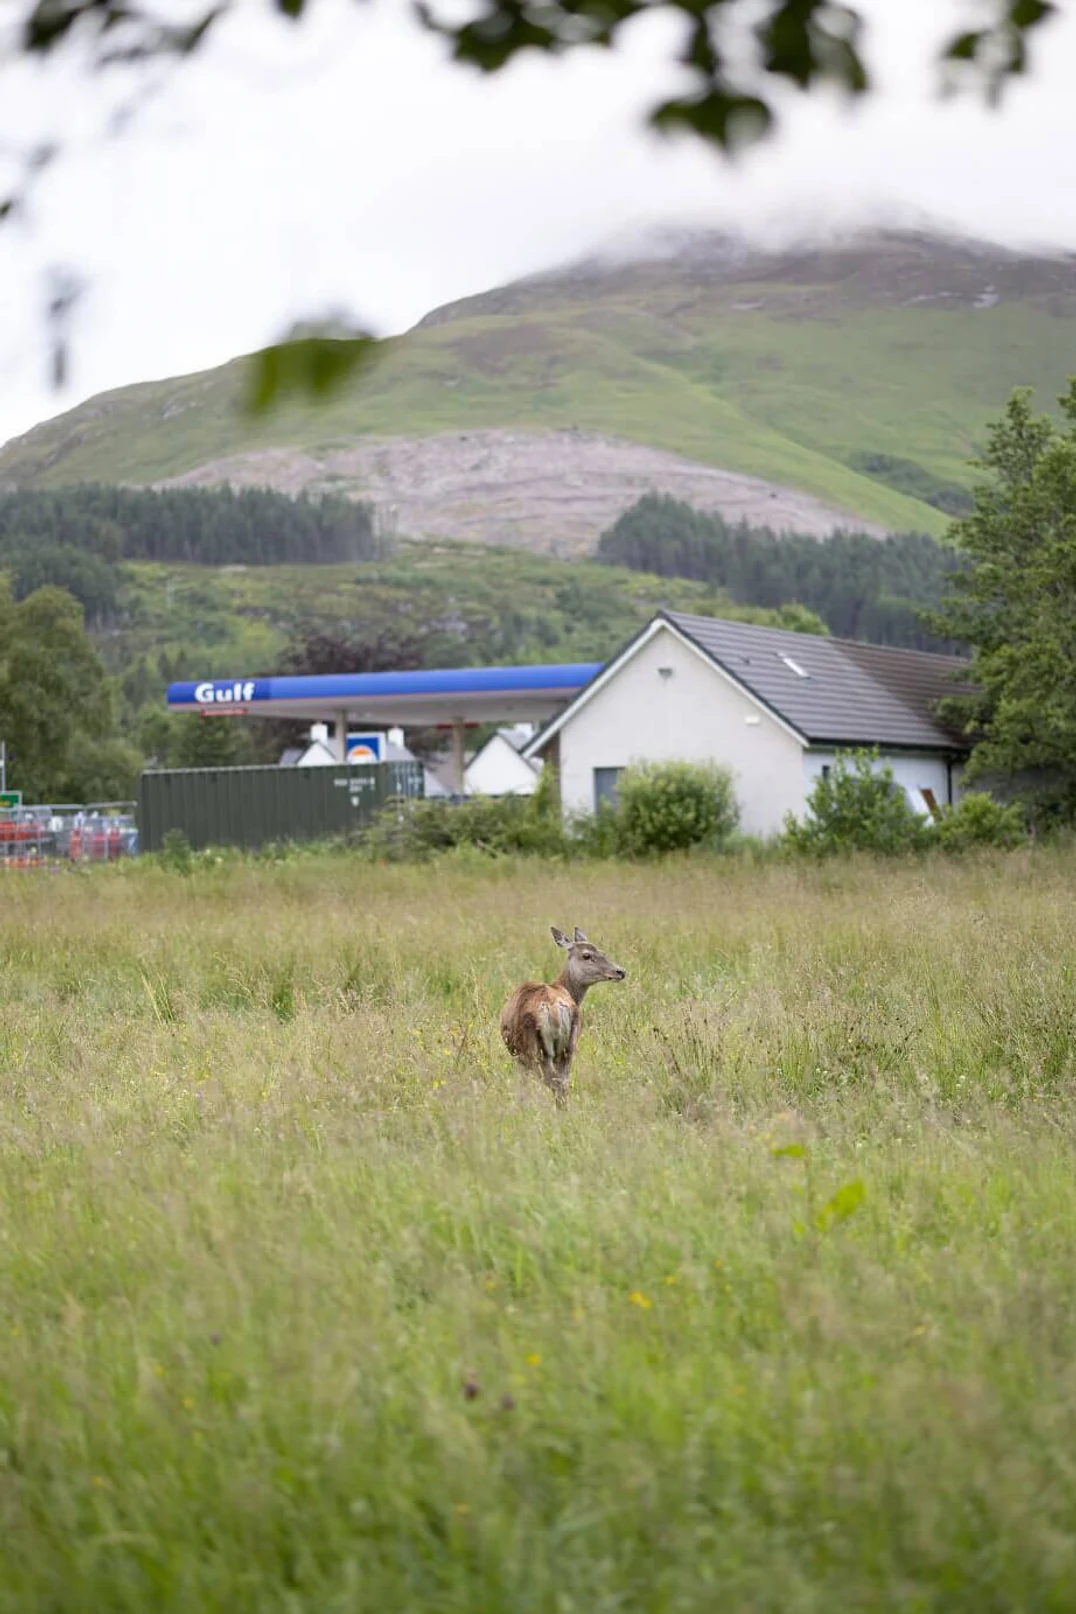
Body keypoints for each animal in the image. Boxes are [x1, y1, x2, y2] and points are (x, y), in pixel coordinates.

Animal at [500, 927, 626, 1109]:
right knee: (564, 1082)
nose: (620, 971)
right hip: (569, 1045)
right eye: (587, 955)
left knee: (555, 1082)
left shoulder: (519, 1057)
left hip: (538, 1050)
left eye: (602, 952)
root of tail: (553, 1010)